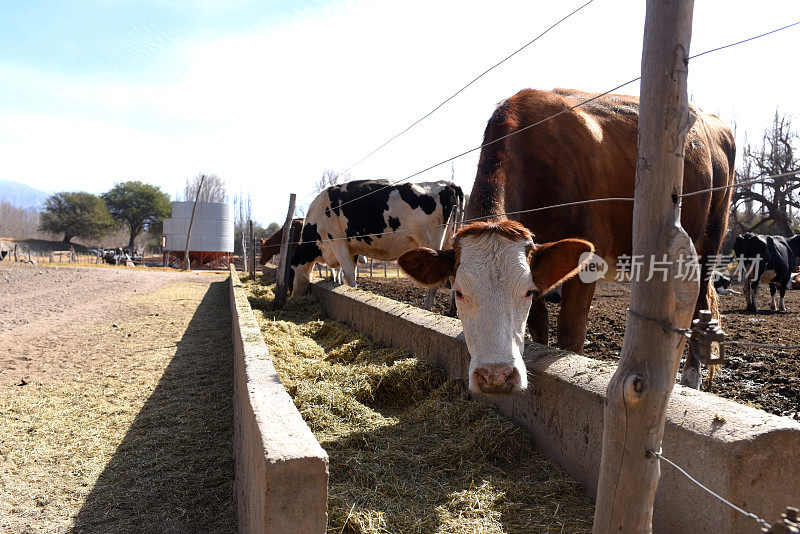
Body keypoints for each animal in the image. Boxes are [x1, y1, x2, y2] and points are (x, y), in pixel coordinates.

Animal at [290, 179, 462, 310]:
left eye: (291, 268)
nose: (293, 295)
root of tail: (447, 184)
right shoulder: (352, 250)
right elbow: (350, 275)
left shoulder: (337, 241)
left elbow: (349, 275)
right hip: (448, 243)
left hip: (430, 240)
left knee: (435, 282)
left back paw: (426, 307)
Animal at [396, 89, 736, 394]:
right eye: (458, 292)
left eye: (526, 291)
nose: (495, 377)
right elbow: (538, 325)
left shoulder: (588, 263)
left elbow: (570, 335)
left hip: (710, 239)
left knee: (699, 304)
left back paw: (691, 379)